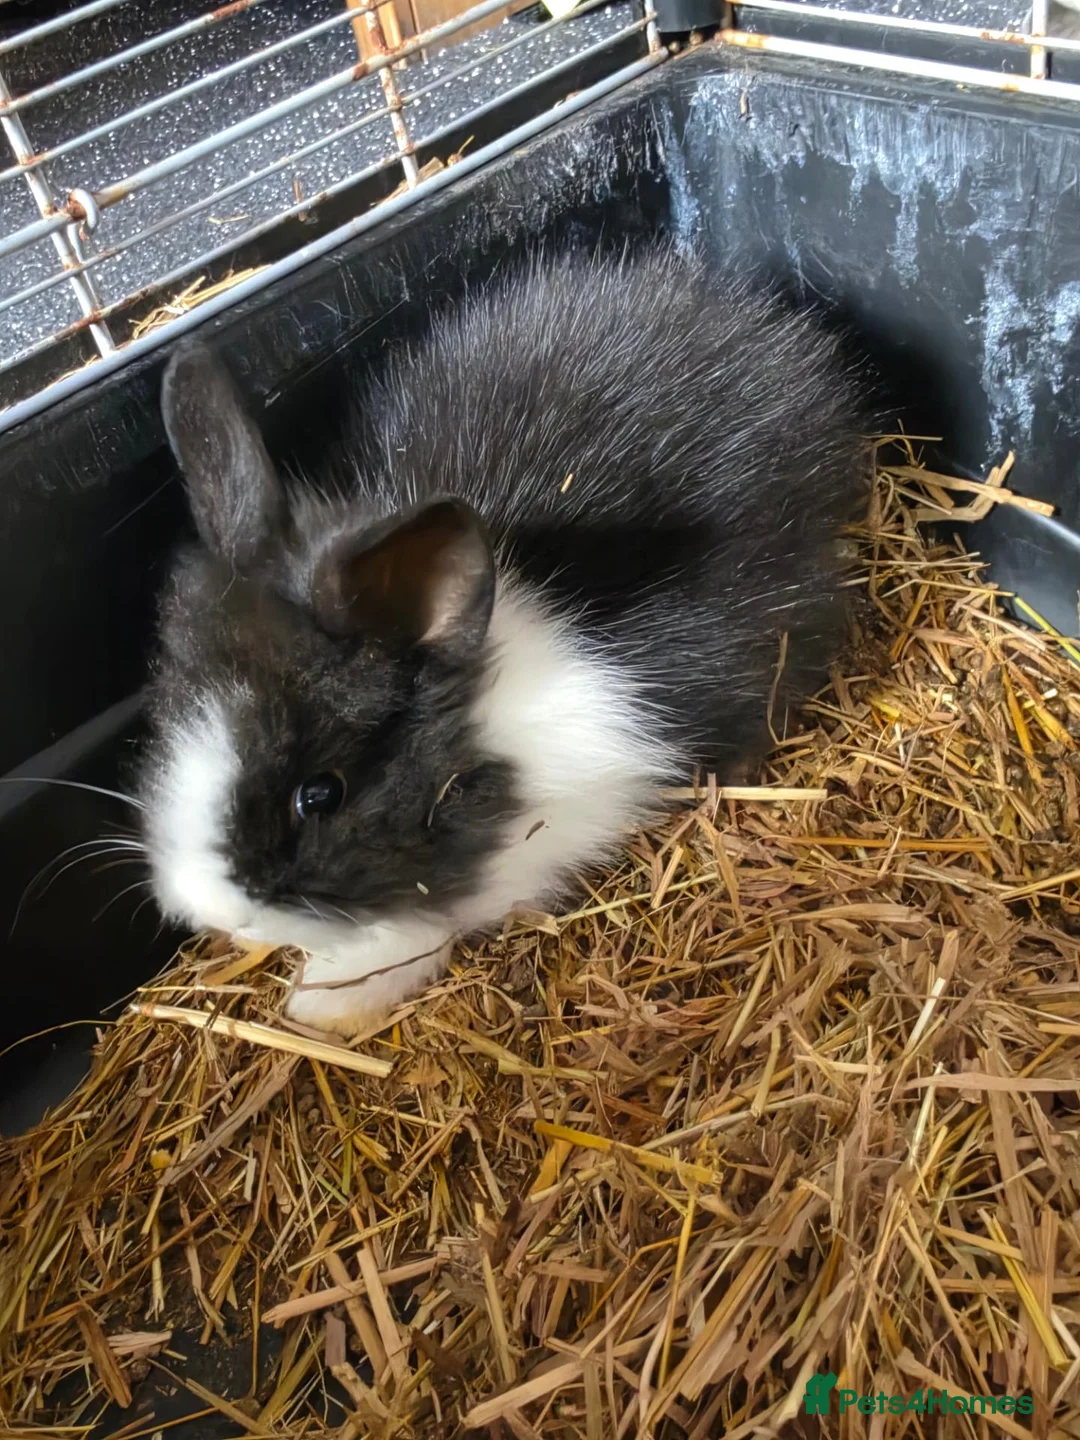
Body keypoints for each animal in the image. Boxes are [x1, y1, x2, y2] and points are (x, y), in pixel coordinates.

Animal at [138, 244, 869, 1037]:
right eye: (166, 730)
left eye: (320, 795)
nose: (216, 915)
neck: (485, 734)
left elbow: (429, 925)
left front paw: (324, 1004)